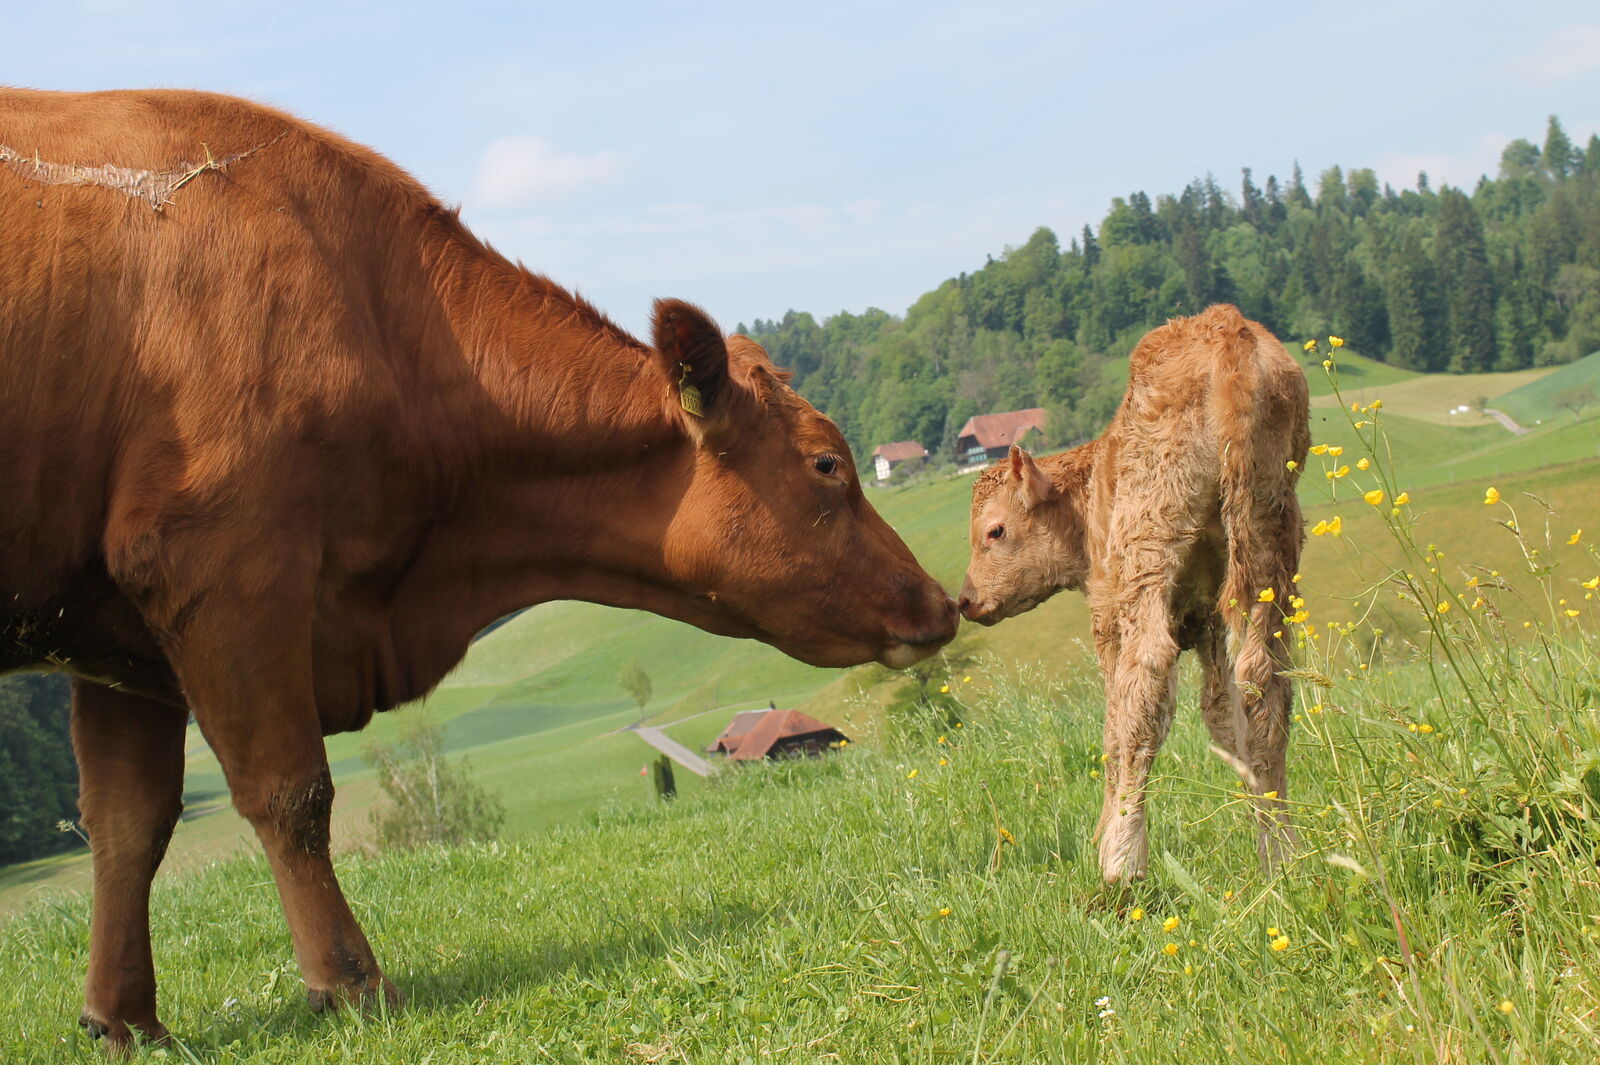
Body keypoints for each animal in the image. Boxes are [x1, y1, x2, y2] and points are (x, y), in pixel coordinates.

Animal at [0, 87, 957, 1051]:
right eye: (827, 463)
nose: (942, 601)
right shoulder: (225, 567)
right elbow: (289, 793)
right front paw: (349, 983)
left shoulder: (119, 641)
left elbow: (128, 824)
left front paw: (123, 1018)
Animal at [958, 305, 1309, 884]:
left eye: (995, 530)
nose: (964, 600)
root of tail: (1226, 329)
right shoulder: (1207, 618)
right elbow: (1222, 714)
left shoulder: (1108, 618)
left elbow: (1115, 728)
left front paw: (1103, 835)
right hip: (1267, 533)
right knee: (1265, 680)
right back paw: (1281, 850)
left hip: (1151, 549)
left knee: (1143, 687)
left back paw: (1122, 860)